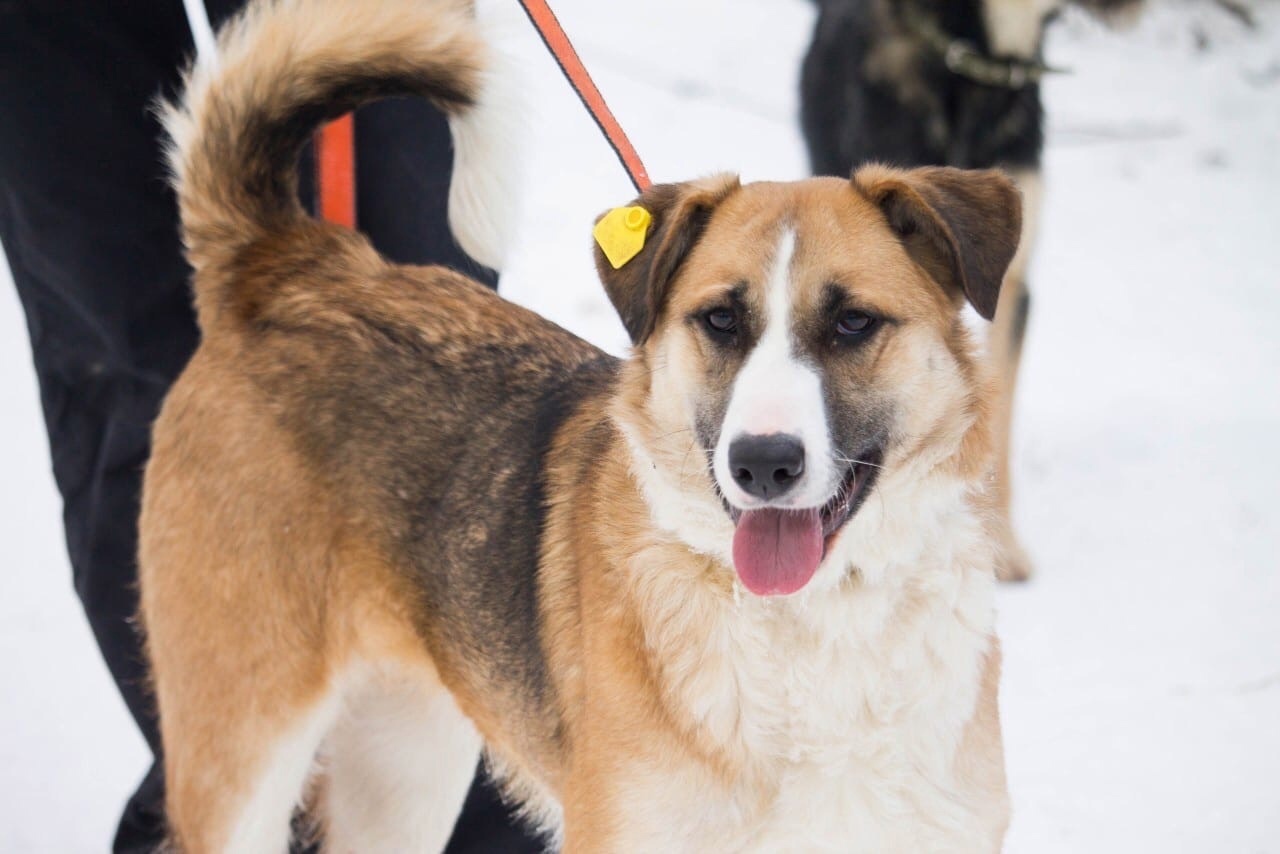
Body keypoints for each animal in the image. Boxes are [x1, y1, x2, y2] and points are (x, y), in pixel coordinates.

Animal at [140, 0, 1018, 850]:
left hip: (406, 765)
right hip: (243, 756)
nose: (763, 463)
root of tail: (293, 266)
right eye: (721, 320)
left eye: (853, 323)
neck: (815, 622)